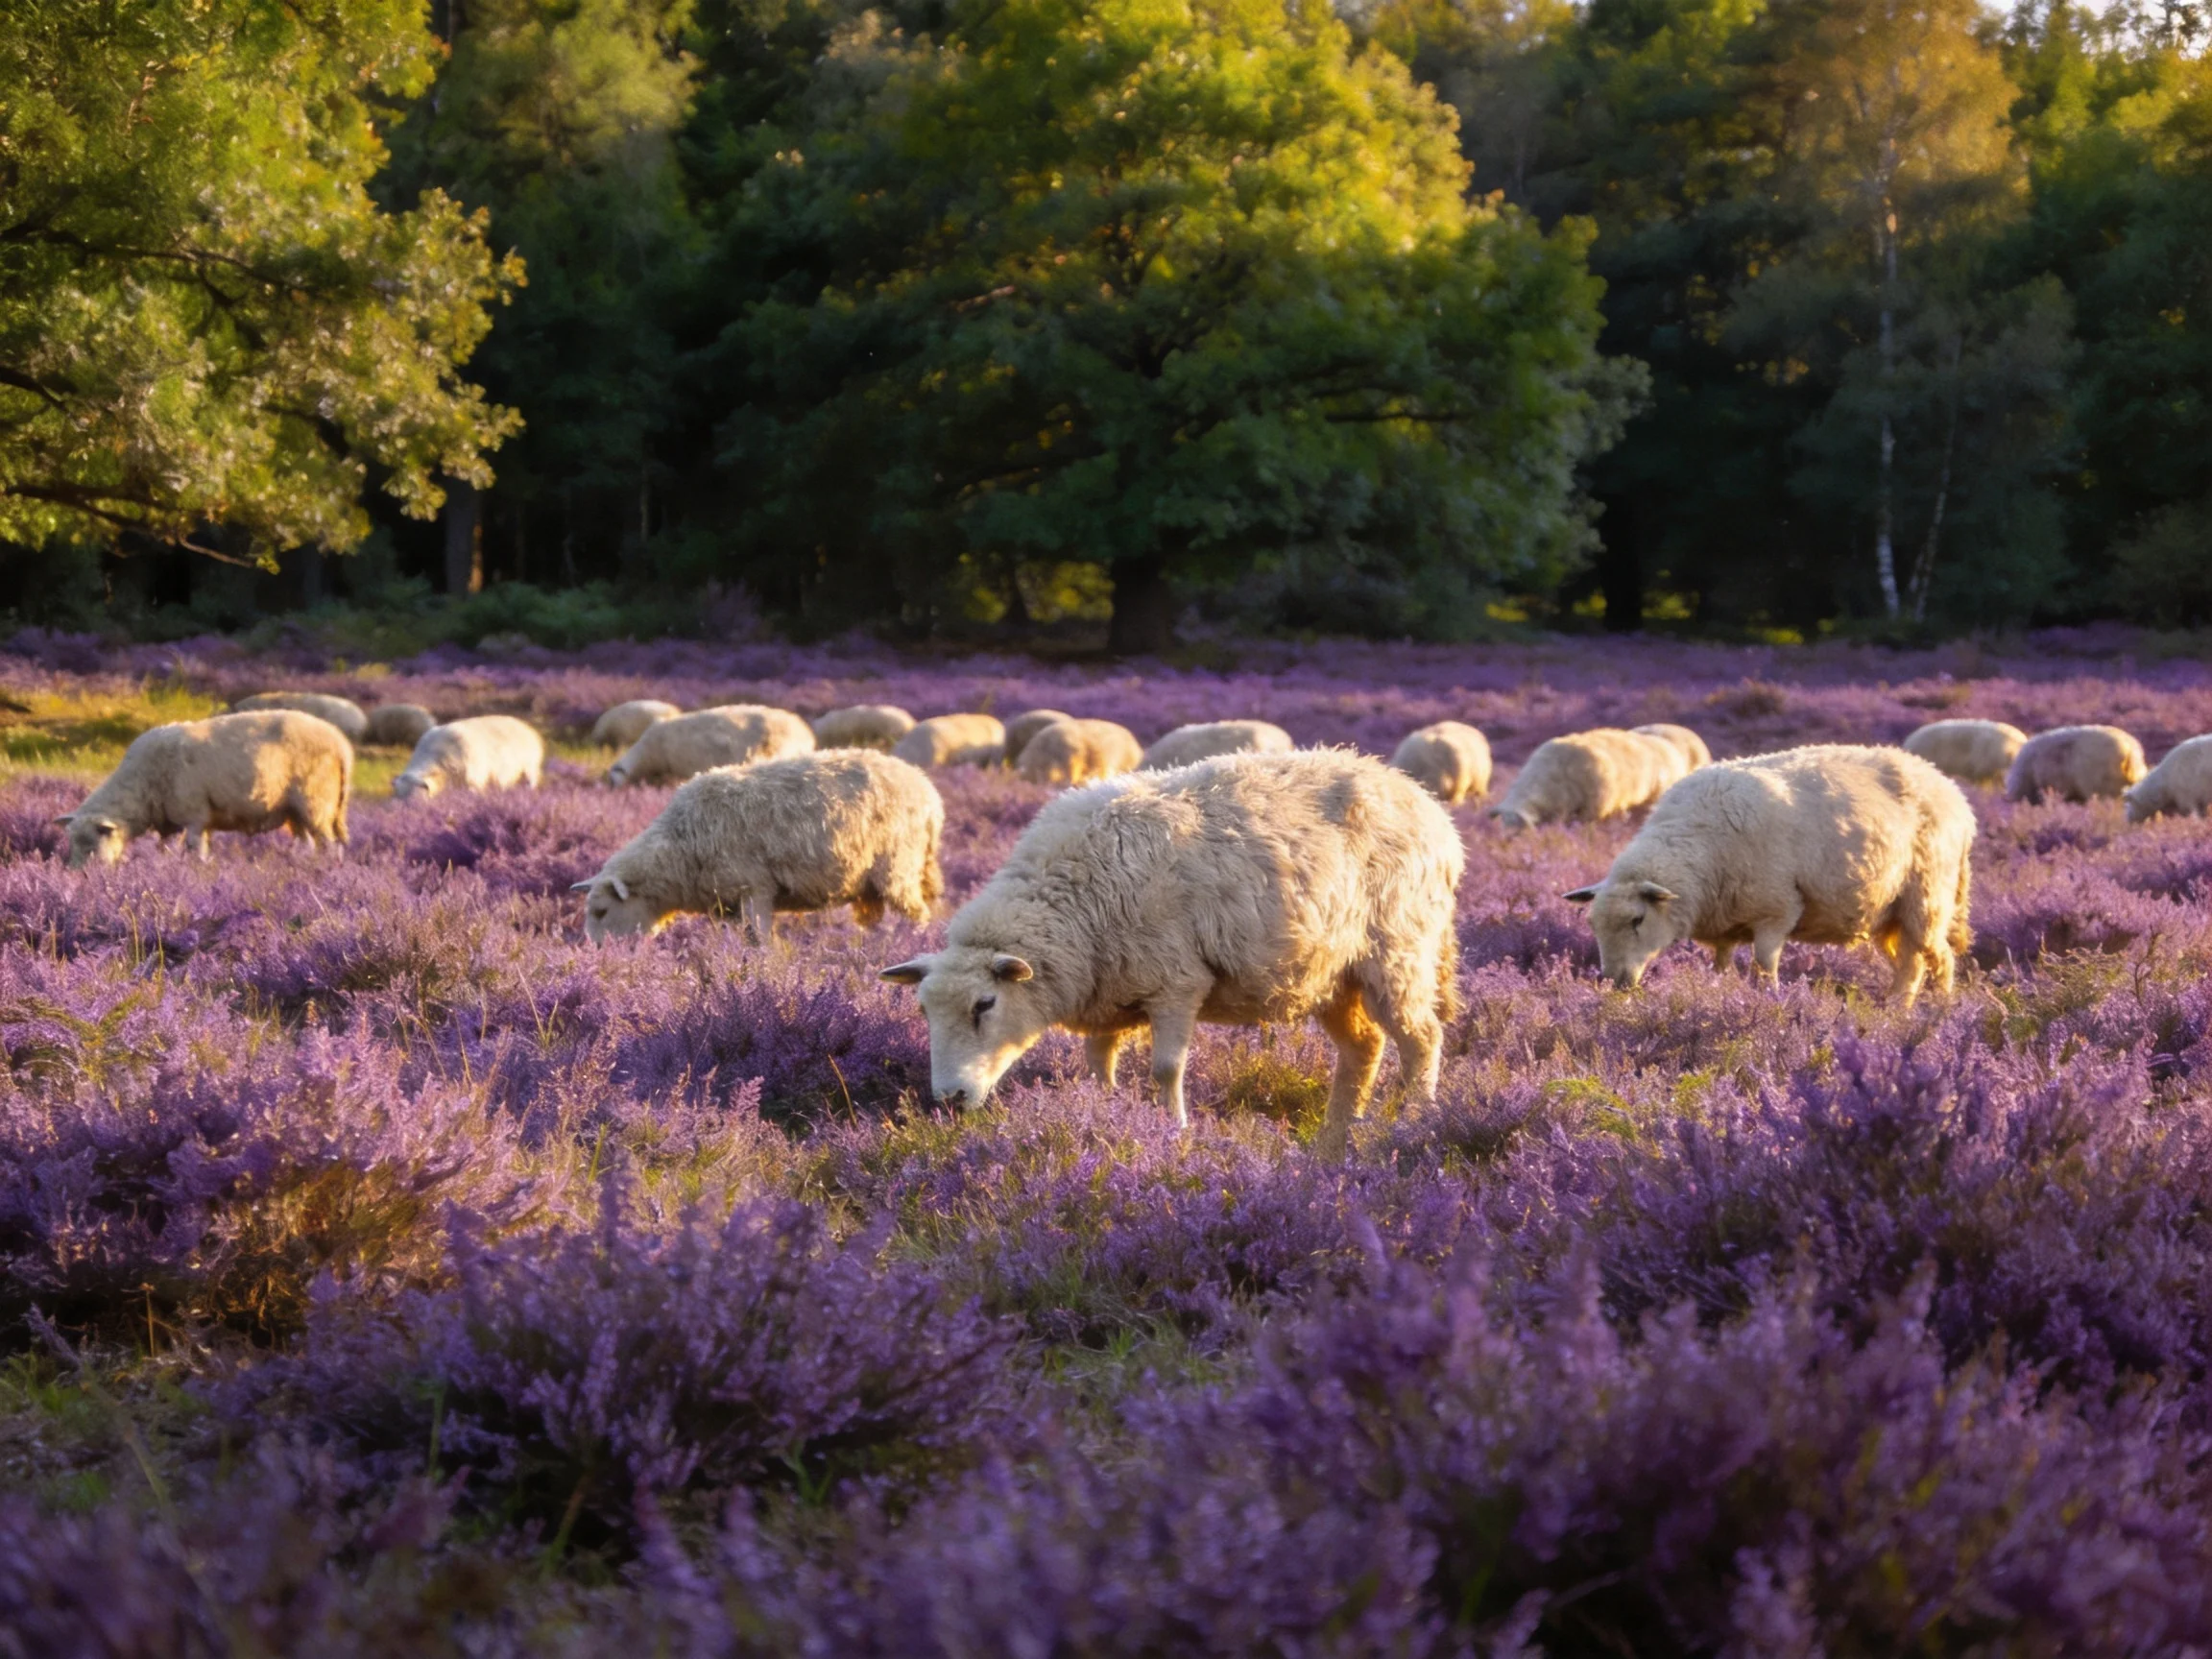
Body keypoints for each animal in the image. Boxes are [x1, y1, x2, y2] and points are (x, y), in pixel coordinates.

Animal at [57, 711, 351, 866]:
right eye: (72, 843)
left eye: (92, 846)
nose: (80, 876)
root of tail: (340, 743)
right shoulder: (174, 820)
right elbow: (166, 849)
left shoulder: (195, 815)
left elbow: (194, 849)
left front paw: (195, 871)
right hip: (295, 810)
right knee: (308, 843)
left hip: (315, 802)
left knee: (329, 844)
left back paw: (325, 869)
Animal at [392, 715, 545, 801]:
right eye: (399, 797)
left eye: (415, 795)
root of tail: (524, 725)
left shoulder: (473, 781)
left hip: (529, 767)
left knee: (531, 783)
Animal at [578, 750, 944, 943]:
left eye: (602, 911)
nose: (598, 954)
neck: (681, 848)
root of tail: (926, 788)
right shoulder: (725, 902)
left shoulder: (754, 888)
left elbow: (759, 940)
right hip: (872, 884)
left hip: (897, 867)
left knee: (918, 915)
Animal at [880, 749, 1465, 1157]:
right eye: (923, 1011)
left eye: (985, 1005)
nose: (950, 1099)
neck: (1075, 906)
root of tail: (1425, 802)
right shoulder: (1110, 992)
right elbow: (1098, 1065)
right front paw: (1103, 1118)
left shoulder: (1177, 983)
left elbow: (1165, 1069)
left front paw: (1174, 1133)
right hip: (1331, 973)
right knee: (1364, 1047)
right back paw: (1334, 1141)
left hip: (1399, 952)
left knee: (1421, 1039)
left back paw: (1415, 1122)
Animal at [1564, 744, 1975, 1004]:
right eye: (1593, 926)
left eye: (1638, 920)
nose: (1613, 983)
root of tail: (1952, 791)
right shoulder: (1724, 923)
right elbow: (1721, 966)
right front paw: (1717, 994)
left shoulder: (1776, 911)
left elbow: (1764, 967)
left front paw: (1770, 1003)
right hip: (1892, 911)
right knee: (1911, 961)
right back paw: (1895, 1008)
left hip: (1927, 898)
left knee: (1936, 959)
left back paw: (1930, 1012)